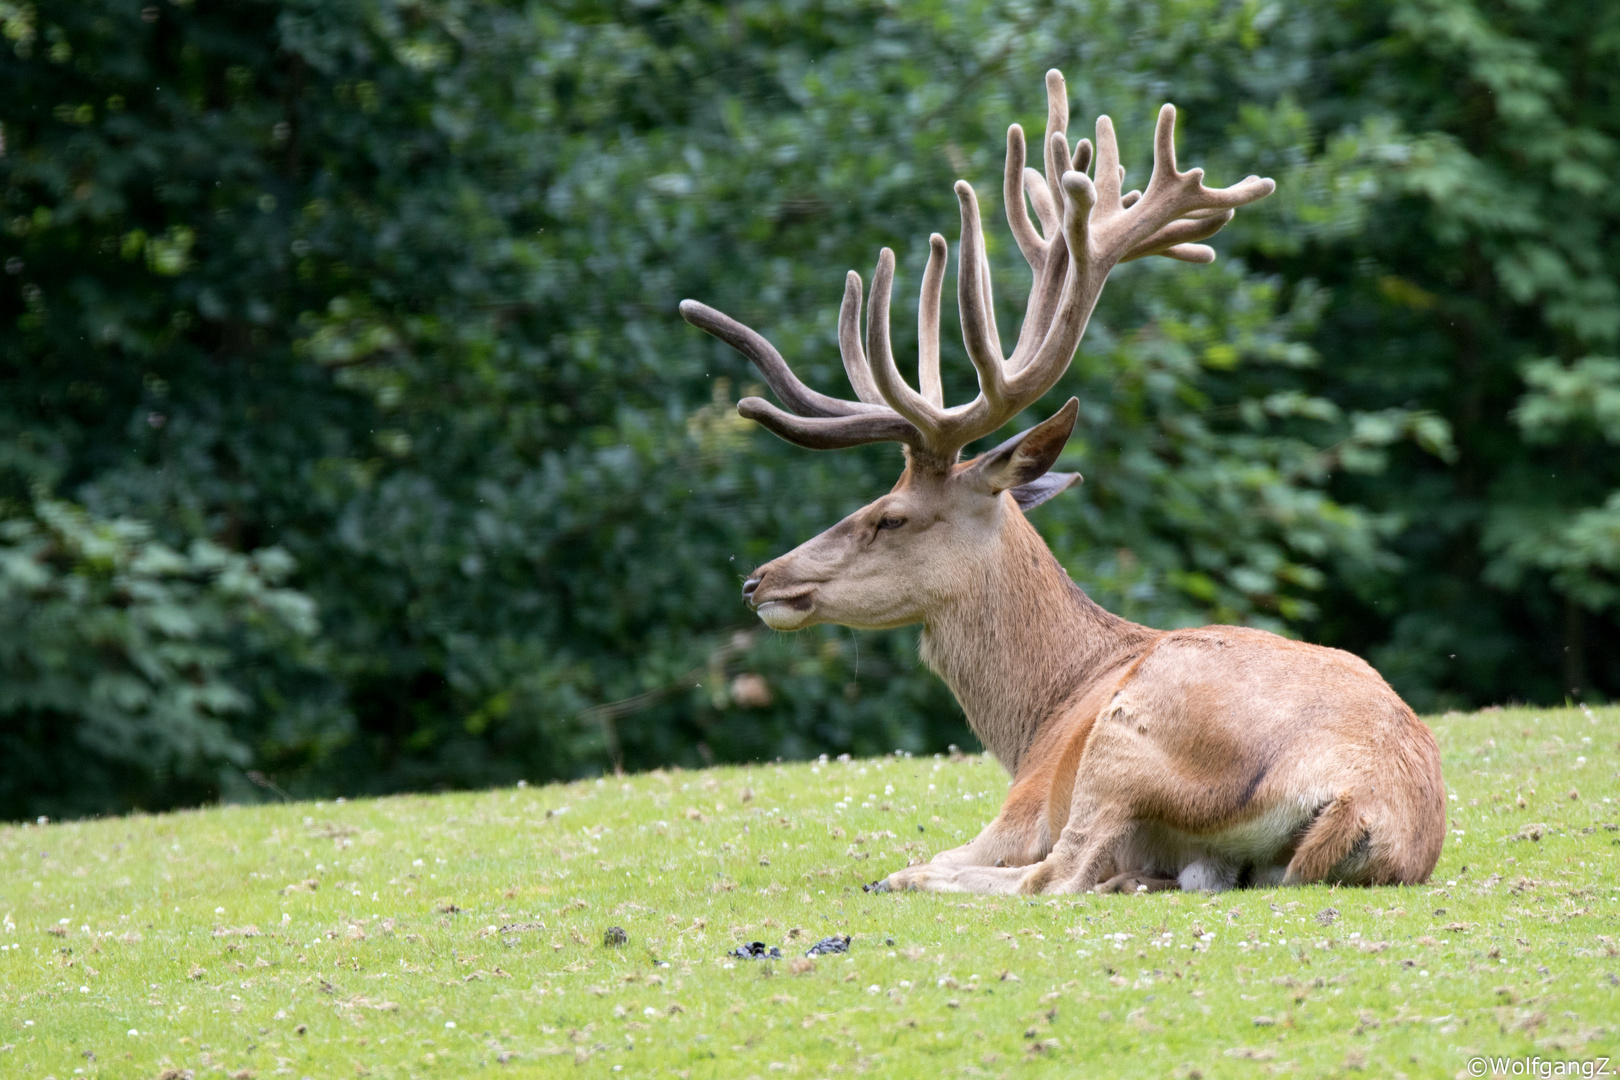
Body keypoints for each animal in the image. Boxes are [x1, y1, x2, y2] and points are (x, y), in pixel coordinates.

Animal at [680, 69, 1445, 893]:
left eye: (891, 514)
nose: (759, 580)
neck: (1043, 714)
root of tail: (1366, 802)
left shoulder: (1024, 802)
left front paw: (898, 873)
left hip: (1126, 744)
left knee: (1052, 878)